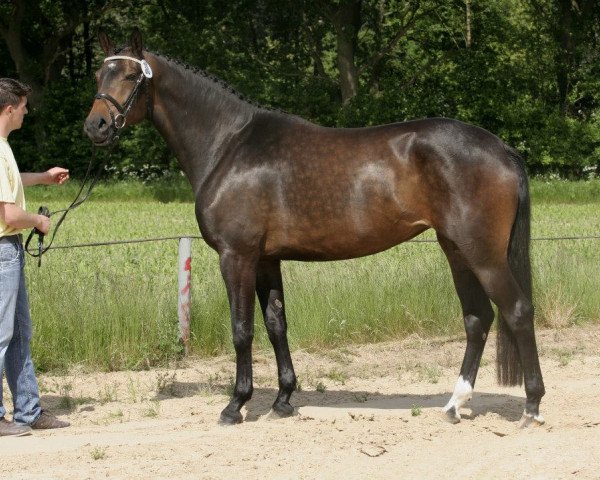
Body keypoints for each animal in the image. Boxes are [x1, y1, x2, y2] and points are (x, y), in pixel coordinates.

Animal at [85, 31, 548, 428]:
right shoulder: (266, 259)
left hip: (482, 253)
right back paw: (454, 404)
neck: (228, 144)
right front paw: (283, 400)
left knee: (517, 311)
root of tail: (502, 148)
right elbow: (276, 325)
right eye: (98, 75)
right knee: (477, 318)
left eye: (131, 76)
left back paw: (531, 406)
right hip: (456, 249)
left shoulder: (237, 256)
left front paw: (236, 405)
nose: (96, 126)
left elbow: (241, 329)